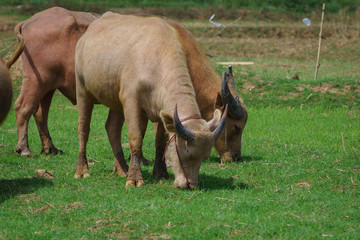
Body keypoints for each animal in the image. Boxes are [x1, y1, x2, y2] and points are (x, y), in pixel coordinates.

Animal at [13, 7, 97, 156]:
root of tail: (29, 21)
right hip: (35, 81)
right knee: (23, 108)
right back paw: (24, 149)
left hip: (47, 86)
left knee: (40, 113)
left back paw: (50, 148)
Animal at [75, 13, 228, 189]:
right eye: (187, 153)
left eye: (204, 157)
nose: (191, 185)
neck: (157, 60)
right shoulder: (131, 102)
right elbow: (136, 139)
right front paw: (135, 178)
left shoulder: (162, 109)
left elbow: (160, 141)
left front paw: (161, 173)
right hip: (82, 89)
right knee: (83, 129)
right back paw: (82, 170)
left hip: (115, 101)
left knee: (112, 128)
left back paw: (122, 169)